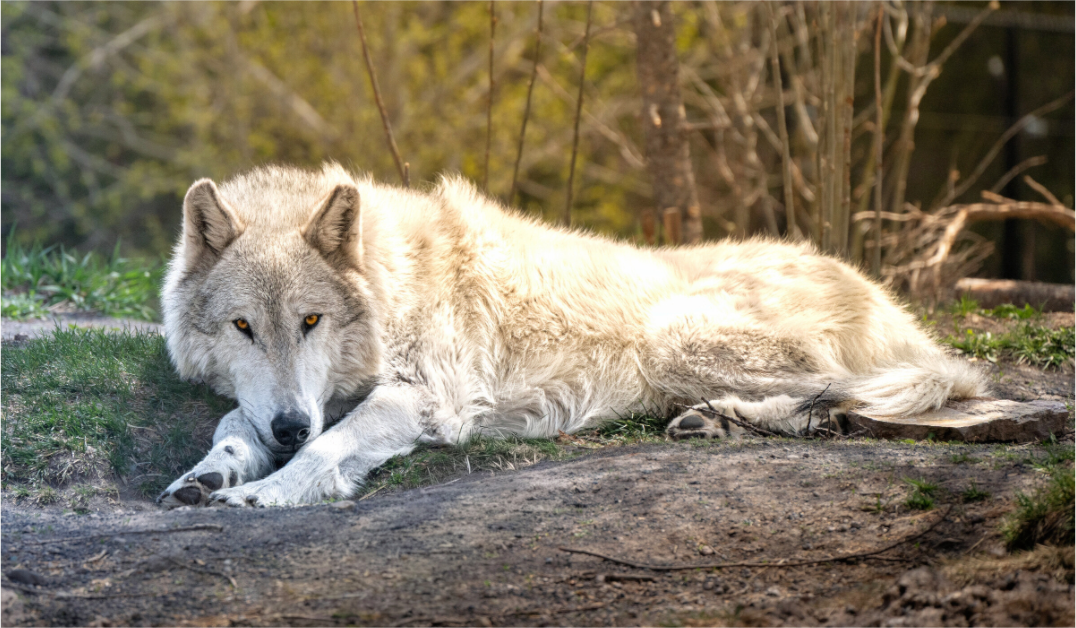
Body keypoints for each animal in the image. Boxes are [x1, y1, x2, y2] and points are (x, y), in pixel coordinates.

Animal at [156, 163, 985, 508]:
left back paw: (729, 418)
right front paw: (211, 474)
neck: (392, 283)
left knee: (862, 394)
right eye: (243, 327)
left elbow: (328, 447)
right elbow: (236, 425)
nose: (289, 426)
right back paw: (711, 422)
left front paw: (266, 493)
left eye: (312, 321)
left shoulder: (427, 400)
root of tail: (891, 303)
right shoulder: (289, 399)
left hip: (676, 336)